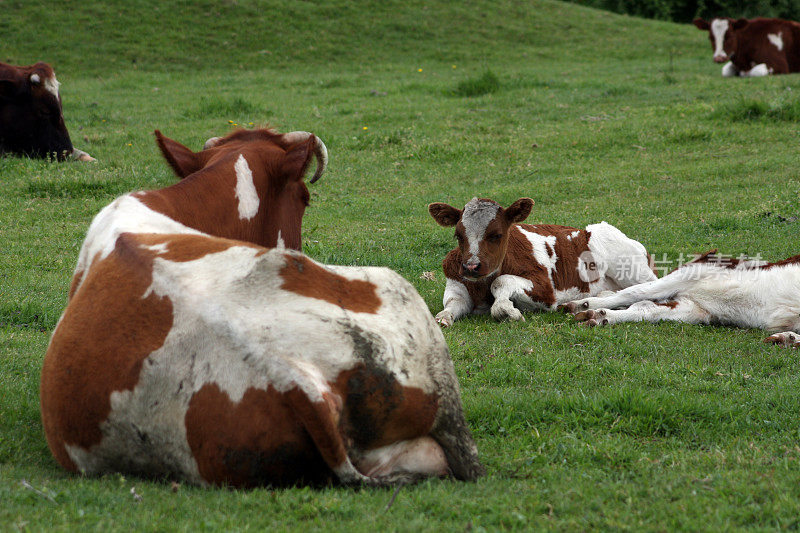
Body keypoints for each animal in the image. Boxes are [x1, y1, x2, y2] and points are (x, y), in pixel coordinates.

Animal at [424, 197, 656, 326]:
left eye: (496, 235)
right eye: (458, 235)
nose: (471, 266)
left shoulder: (546, 291)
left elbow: (501, 282)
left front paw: (506, 310)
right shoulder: (457, 285)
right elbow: (451, 305)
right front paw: (442, 319)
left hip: (631, 269)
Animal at [564, 248, 800, 344]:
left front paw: (786, 338)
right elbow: (634, 291)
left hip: (695, 308)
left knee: (647, 308)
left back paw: (599, 316)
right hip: (693, 274)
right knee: (637, 292)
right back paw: (582, 305)